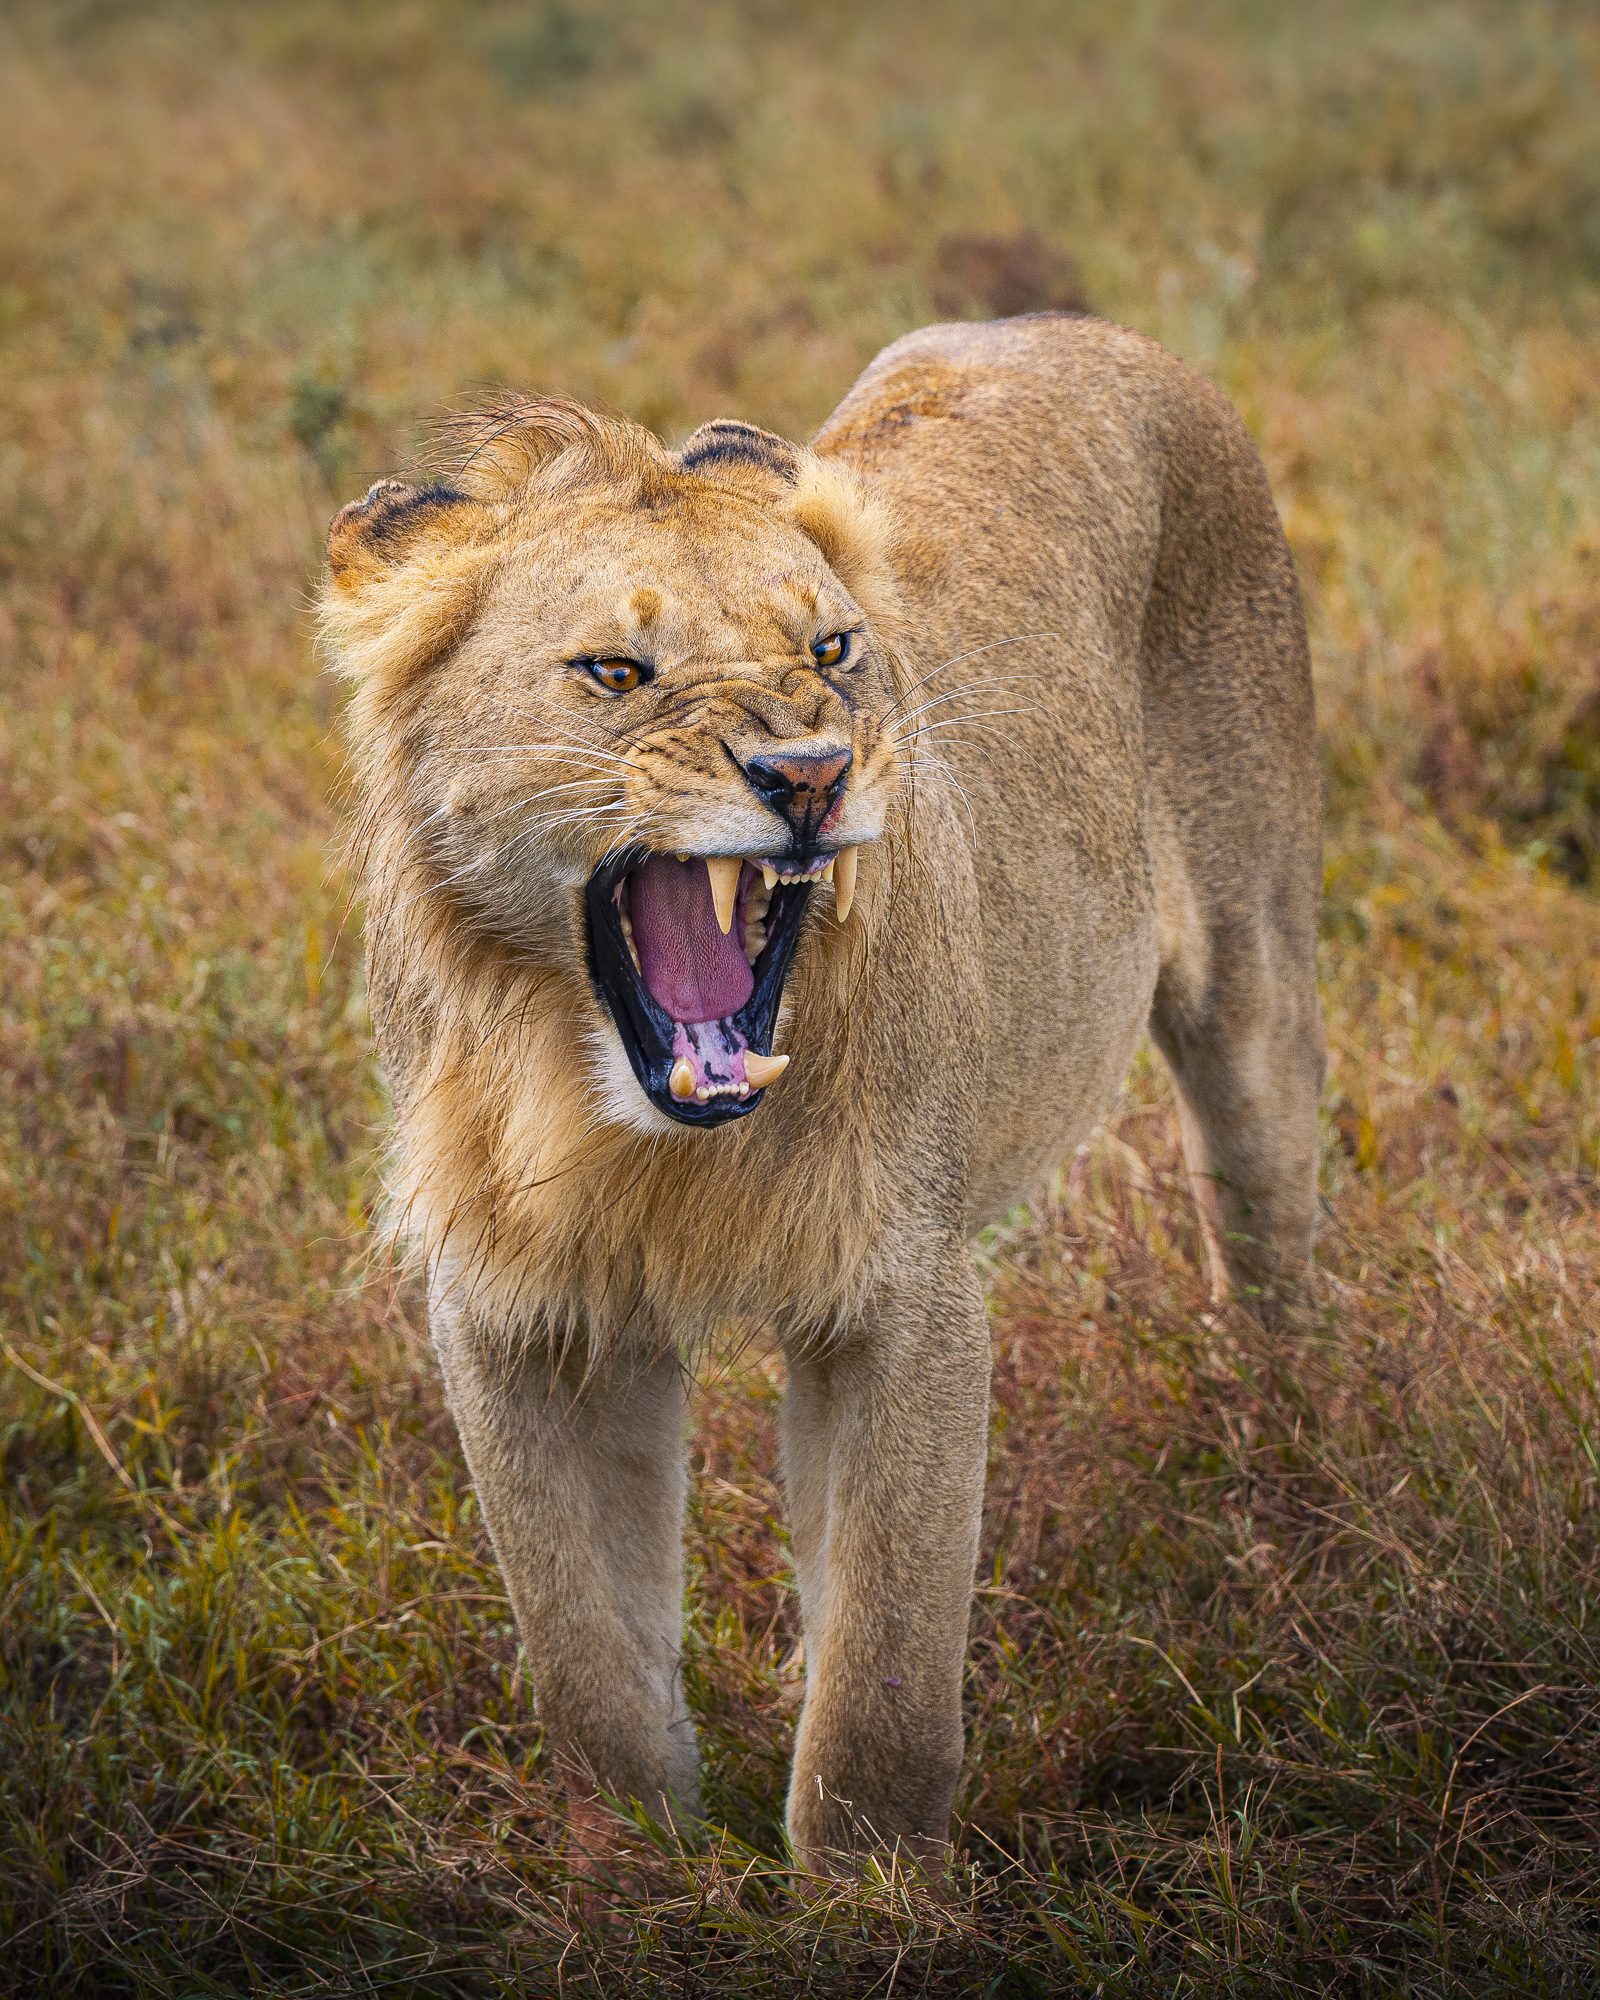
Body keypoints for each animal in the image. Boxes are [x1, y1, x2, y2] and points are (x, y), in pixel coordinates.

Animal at [319, 313, 1323, 1877]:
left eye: (833, 649)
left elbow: (886, 1670)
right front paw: (637, 1871)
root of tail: (1072, 323)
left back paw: (1277, 1492)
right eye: (615, 672)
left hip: (1253, 979)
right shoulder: (521, 1309)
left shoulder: (905, 1297)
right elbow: (585, 1657)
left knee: (1268, 1229)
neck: (624, 1122)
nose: (809, 773)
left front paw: (871, 1891)